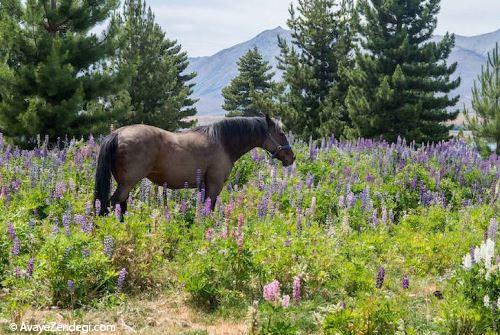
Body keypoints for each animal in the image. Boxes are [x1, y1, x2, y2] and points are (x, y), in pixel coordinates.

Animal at [94, 115, 292, 218]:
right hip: (127, 184)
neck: (222, 142)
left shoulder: (203, 186)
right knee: (111, 205)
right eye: (281, 133)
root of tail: (117, 134)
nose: (292, 157)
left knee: (119, 205)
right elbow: (209, 209)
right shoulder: (214, 186)